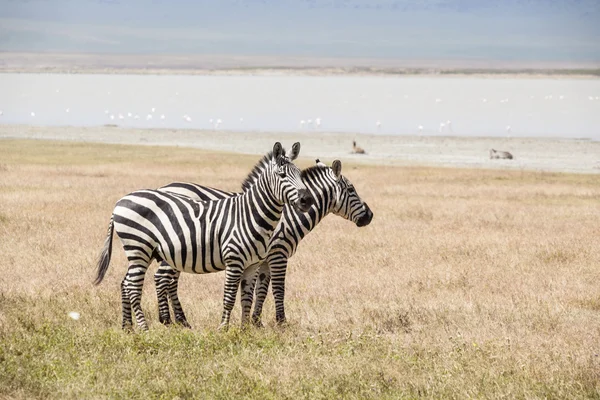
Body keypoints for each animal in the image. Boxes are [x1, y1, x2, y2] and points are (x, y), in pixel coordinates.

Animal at [94, 142, 314, 330]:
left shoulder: (252, 264)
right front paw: (224, 329)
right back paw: (145, 329)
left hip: (142, 252)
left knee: (126, 283)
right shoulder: (236, 260)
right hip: (138, 247)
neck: (250, 214)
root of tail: (120, 201)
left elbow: (247, 298)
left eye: (300, 174)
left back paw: (128, 327)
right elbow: (229, 297)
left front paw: (245, 331)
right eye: (282, 175)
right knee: (133, 286)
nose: (307, 200)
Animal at [152, 158, 372, 326]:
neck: (288, 215)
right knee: (162, 278)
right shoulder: (278, 254)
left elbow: (261, 291)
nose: (369, 216)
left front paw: (256, 322)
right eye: (351, 189)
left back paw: (180, 321)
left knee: (169, 281)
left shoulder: (263, 259)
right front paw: (281, 323)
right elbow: (278, 289)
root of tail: (164, 187)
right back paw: (170, 320)